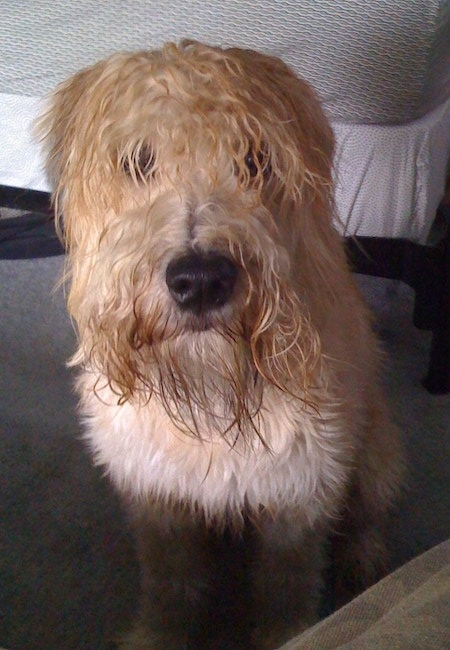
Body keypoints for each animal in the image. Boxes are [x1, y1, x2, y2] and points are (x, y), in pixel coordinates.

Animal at [38, 41, 402, 648]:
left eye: (255, 159)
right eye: (137, 161)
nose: (202, 280)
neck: (211, 391)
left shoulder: (300, 496)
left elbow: (285, 592)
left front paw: (294, 636)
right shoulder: (158, 498)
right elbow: (172, 587)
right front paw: (158, 636)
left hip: (375, 451)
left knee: (369, 516)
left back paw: (367, 565)